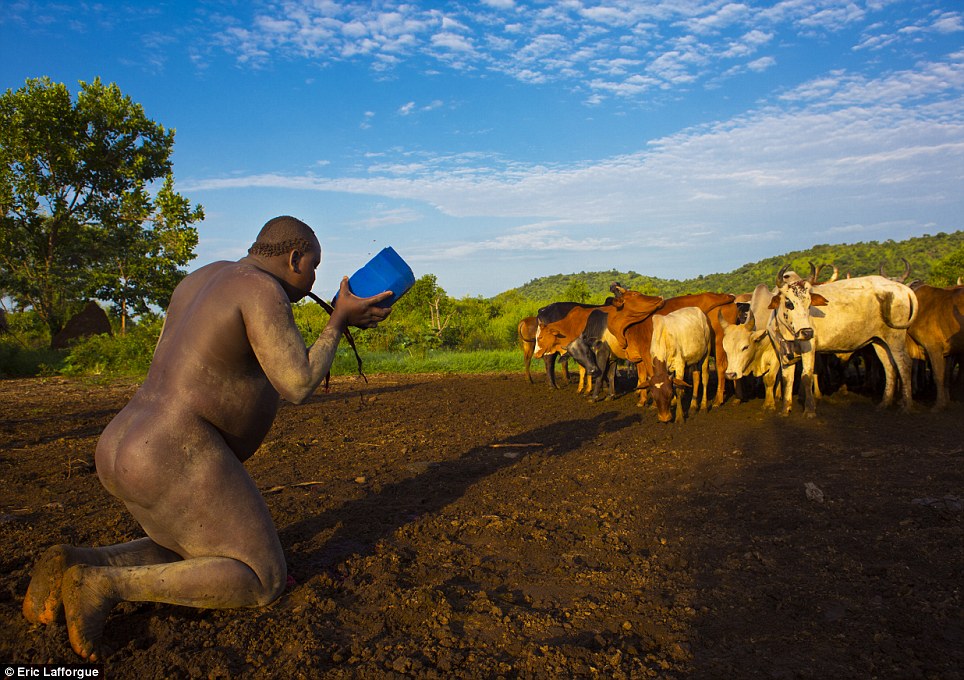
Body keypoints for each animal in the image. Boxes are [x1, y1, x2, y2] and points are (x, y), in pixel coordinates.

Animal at [764, 264, 916, 414]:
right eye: (789, 303)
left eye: (809, 303)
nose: (807, 332)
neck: (787, 332)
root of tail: (902, 288)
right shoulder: (783, 352)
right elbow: (787, 379)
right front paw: (785, 409)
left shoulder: (809, 348)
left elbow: (806, 377)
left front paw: (809, 410)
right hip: (880, 341)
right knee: (890, 367)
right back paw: (884, 403)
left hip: (895, 337)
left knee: (905, 364)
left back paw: (906, 406)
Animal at [908, 282, 960, 410]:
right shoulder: (947, 352)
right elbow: (946, 375)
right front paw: (947, 401)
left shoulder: (933, 348)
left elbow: (938, 375)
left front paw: (939, 405)